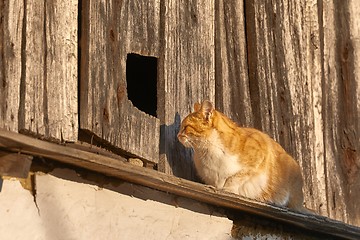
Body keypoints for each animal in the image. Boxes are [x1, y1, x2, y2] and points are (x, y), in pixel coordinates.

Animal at [177, 100, 312, 213]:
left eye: (185, 127)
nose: (178, 135)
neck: (207, 151)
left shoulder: (258, 156)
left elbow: (234, 178)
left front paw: (227, 190)